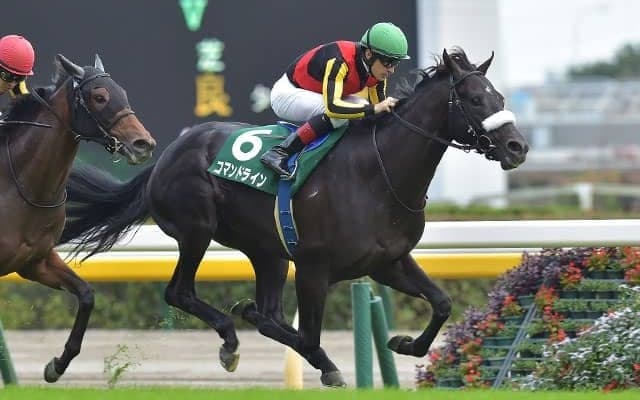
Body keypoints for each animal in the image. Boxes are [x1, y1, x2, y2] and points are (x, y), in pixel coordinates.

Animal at [0, 53, 156, 382]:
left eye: (123, 92)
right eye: (99, 97)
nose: (143, 144)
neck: (17, 183)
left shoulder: (35, 261)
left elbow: (86, 295)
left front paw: (57, 365)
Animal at [59, 48, 528, 387]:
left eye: (500, 98)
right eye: (474, 99)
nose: (517, 147)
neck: (378, 173)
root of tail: (166, 156)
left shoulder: (388, 262)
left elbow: (442, 303)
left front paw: (403, 342)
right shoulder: (313, 268)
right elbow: (308, 335)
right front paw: (329, 365)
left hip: (267, 252)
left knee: (264, 309)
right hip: (197, 230)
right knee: (181, 292)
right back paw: (232, 338)